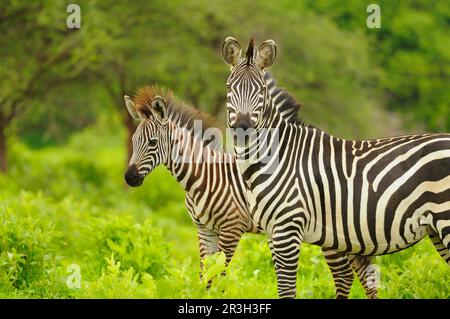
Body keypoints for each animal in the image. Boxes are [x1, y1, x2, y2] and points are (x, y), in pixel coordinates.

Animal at [124, 85, 380, 300]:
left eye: (153, 142)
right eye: (134, 140)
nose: (129, 178)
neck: (204, 176)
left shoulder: (231, 228)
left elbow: (219, 276)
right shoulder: (204, 230)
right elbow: (205, 276)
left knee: (346, 275)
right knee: (367, 276)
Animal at [221, 37, 450, 300]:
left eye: (260, 91)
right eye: (229, 88)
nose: (242, 127)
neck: (277, 157)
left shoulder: (288, 230)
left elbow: (287, 289)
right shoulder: (273, 233)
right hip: (436, 230)